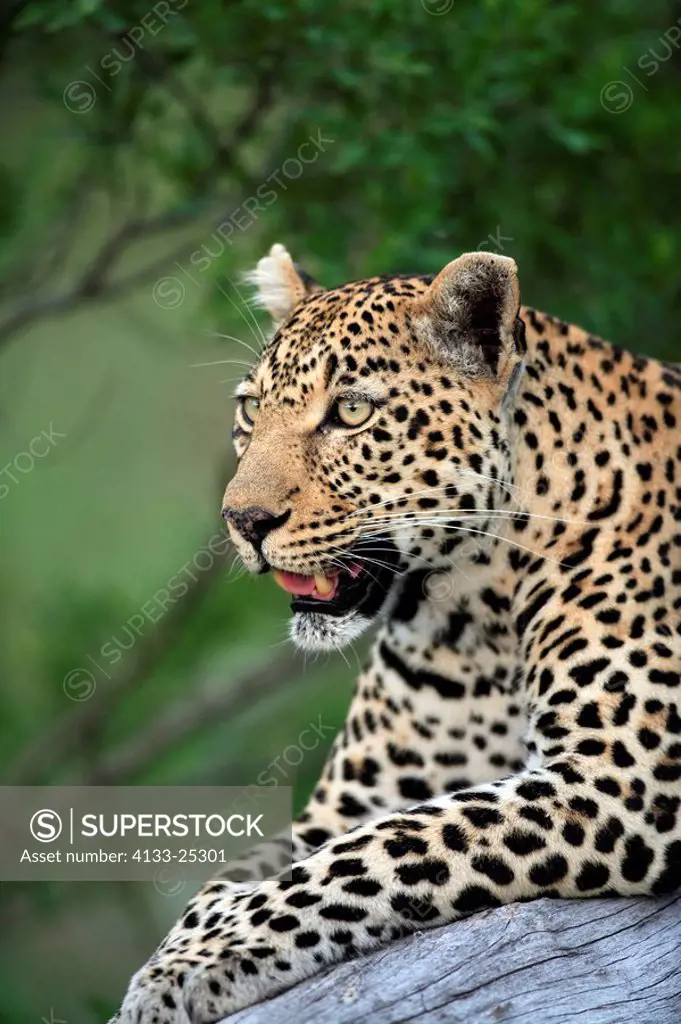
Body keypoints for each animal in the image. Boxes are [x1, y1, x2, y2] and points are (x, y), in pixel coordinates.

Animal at [115, 241, 679, 1024]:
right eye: (251, 409)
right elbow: (264, 863)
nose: (243, 521)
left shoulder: (618, 779)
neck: (474, 610)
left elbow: (373, 851)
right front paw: (181, 945)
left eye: (351, 411)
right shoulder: (345, 803)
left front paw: (197, 956)